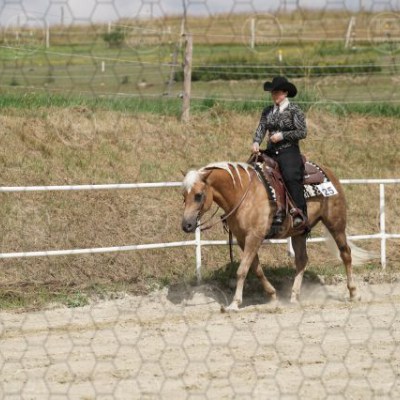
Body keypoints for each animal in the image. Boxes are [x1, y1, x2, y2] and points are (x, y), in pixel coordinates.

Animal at [181, 161, 372, 312]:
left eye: (198, 195)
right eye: (183, 195)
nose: (186, 225)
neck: (242, 193)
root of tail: (328, 172)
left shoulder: (254, 237)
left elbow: (242, 270)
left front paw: (234, 303)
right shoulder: (243, 239)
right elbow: (256, 268)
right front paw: (272, 295)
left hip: (336, 223)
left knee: (346, 253)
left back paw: (353, 292)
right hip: (299, 232)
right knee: (302, 260)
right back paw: (294, 296)